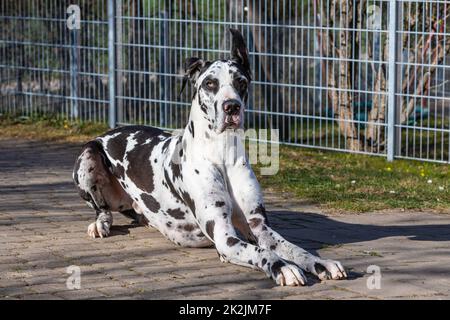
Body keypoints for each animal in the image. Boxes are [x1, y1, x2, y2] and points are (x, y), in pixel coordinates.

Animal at [74, 29, 348, 284]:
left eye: (241, 81)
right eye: (210, 84)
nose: (232, 107)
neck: (222, 151)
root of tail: (110, 131)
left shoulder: (259, 226)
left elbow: (294, 248)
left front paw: (320, 263)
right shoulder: (225, 237)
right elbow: (262, 253)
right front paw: (282, 267)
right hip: (87, 157)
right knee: (102, 209)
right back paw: (100, 224)